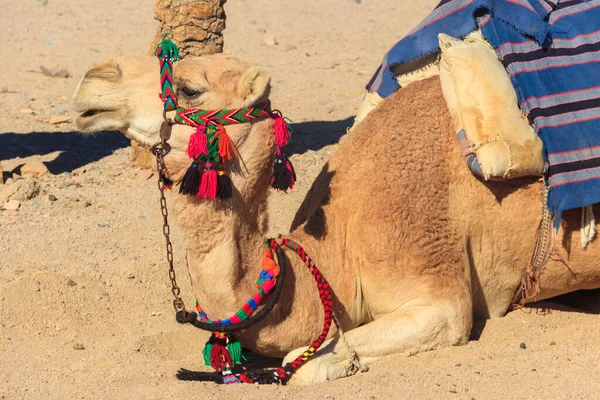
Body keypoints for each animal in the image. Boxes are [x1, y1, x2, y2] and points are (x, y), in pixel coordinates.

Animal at [68, 54, 600, 384]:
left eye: (189, 88)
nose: (93, 78)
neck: (333, 254)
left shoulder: (435, 288)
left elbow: (303, 362)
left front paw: (336, 363)